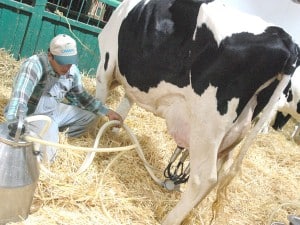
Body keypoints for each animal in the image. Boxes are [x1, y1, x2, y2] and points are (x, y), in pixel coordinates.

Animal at [94, 0, 300, 225]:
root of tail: (286, 39)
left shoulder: (106, 65)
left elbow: (99, 103)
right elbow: (125, 104)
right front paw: (114, 130)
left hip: (207, 125)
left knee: (204, 178)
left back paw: (170, 219)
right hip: (235, 130)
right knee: (219, 169)